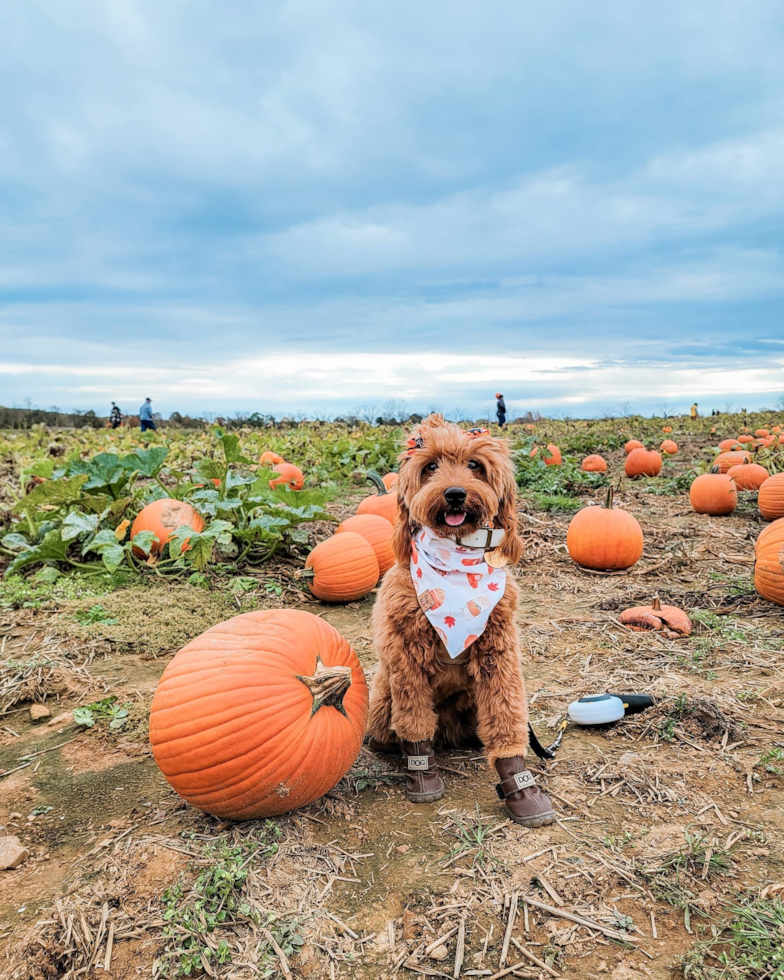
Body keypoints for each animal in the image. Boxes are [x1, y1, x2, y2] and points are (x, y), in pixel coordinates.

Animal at [366, 414, 556, 828]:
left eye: (475, 466)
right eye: (430, 467)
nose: (454, 493)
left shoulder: (497, 654)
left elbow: (506, 715)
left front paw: (522, 789)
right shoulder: (407, 657)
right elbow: (414, 721)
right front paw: (422, 776)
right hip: (383, 696)